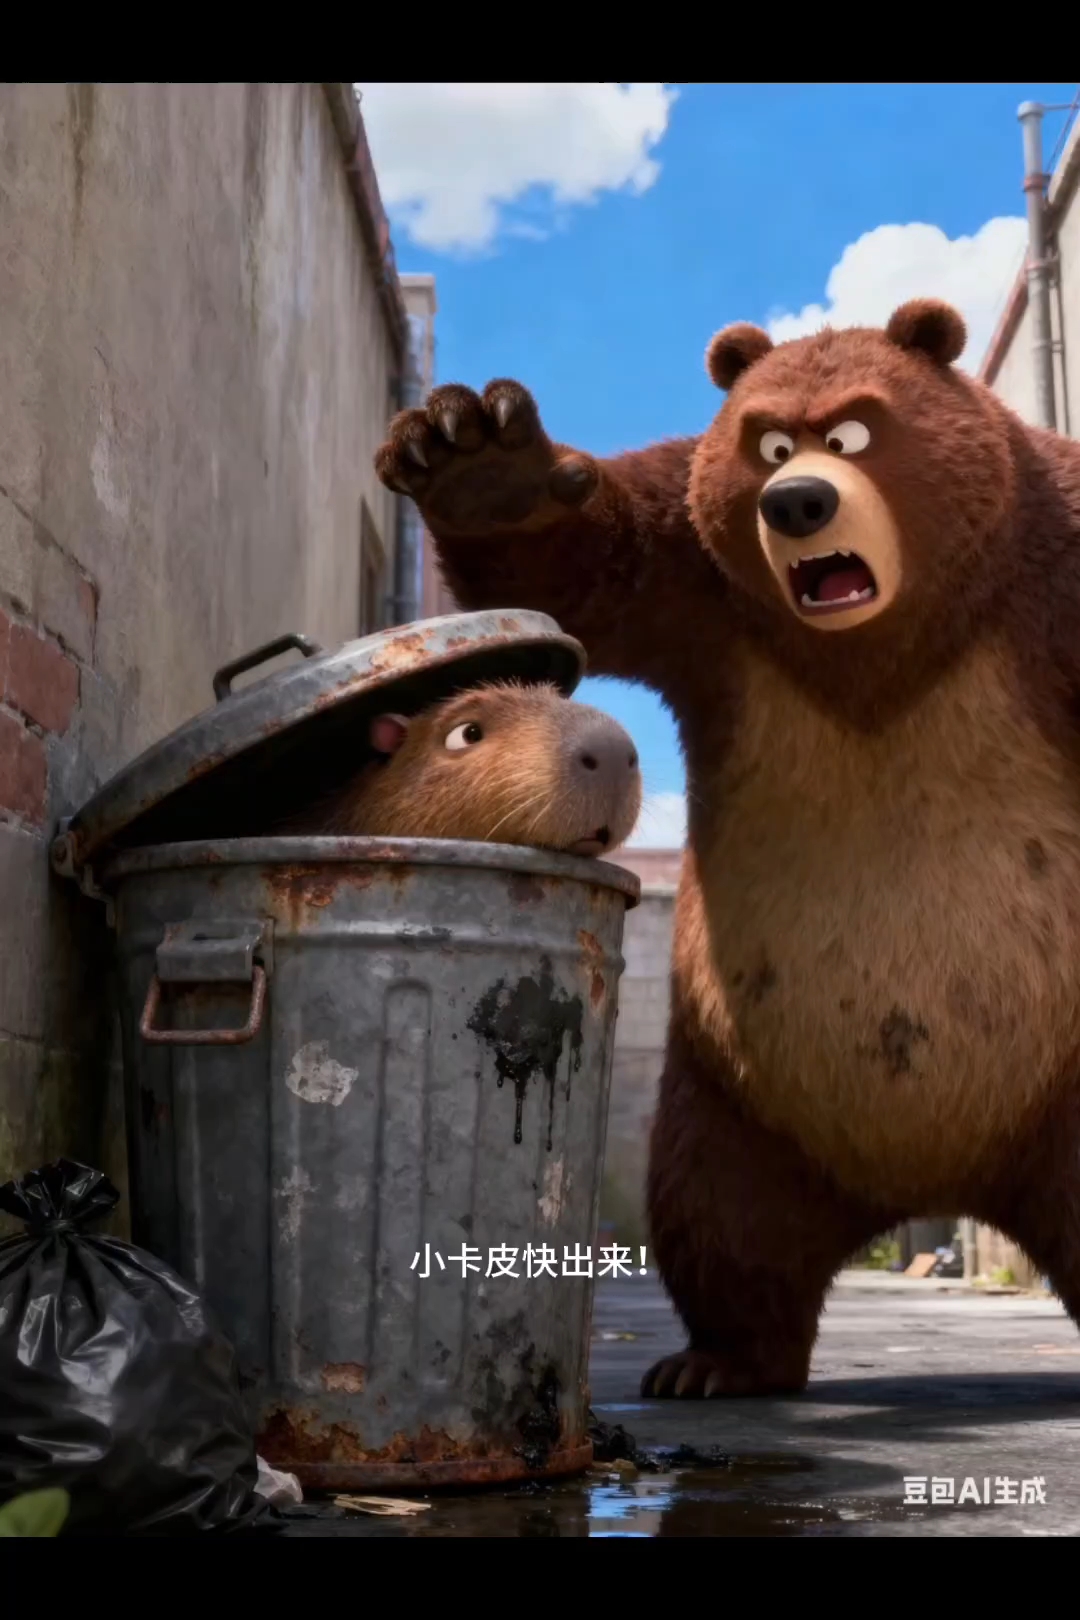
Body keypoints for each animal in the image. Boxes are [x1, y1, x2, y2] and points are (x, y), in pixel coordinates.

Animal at [374, 298, 1080, 1399]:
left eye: (855, 432)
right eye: (770, 442)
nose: (797, 504)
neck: (882, 654)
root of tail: (936, 1177)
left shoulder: (1042, 582)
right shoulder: (709, 597)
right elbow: (583, 567)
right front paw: (476, 456)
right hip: (739, 1093)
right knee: (719, 1217)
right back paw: (718, 1361)